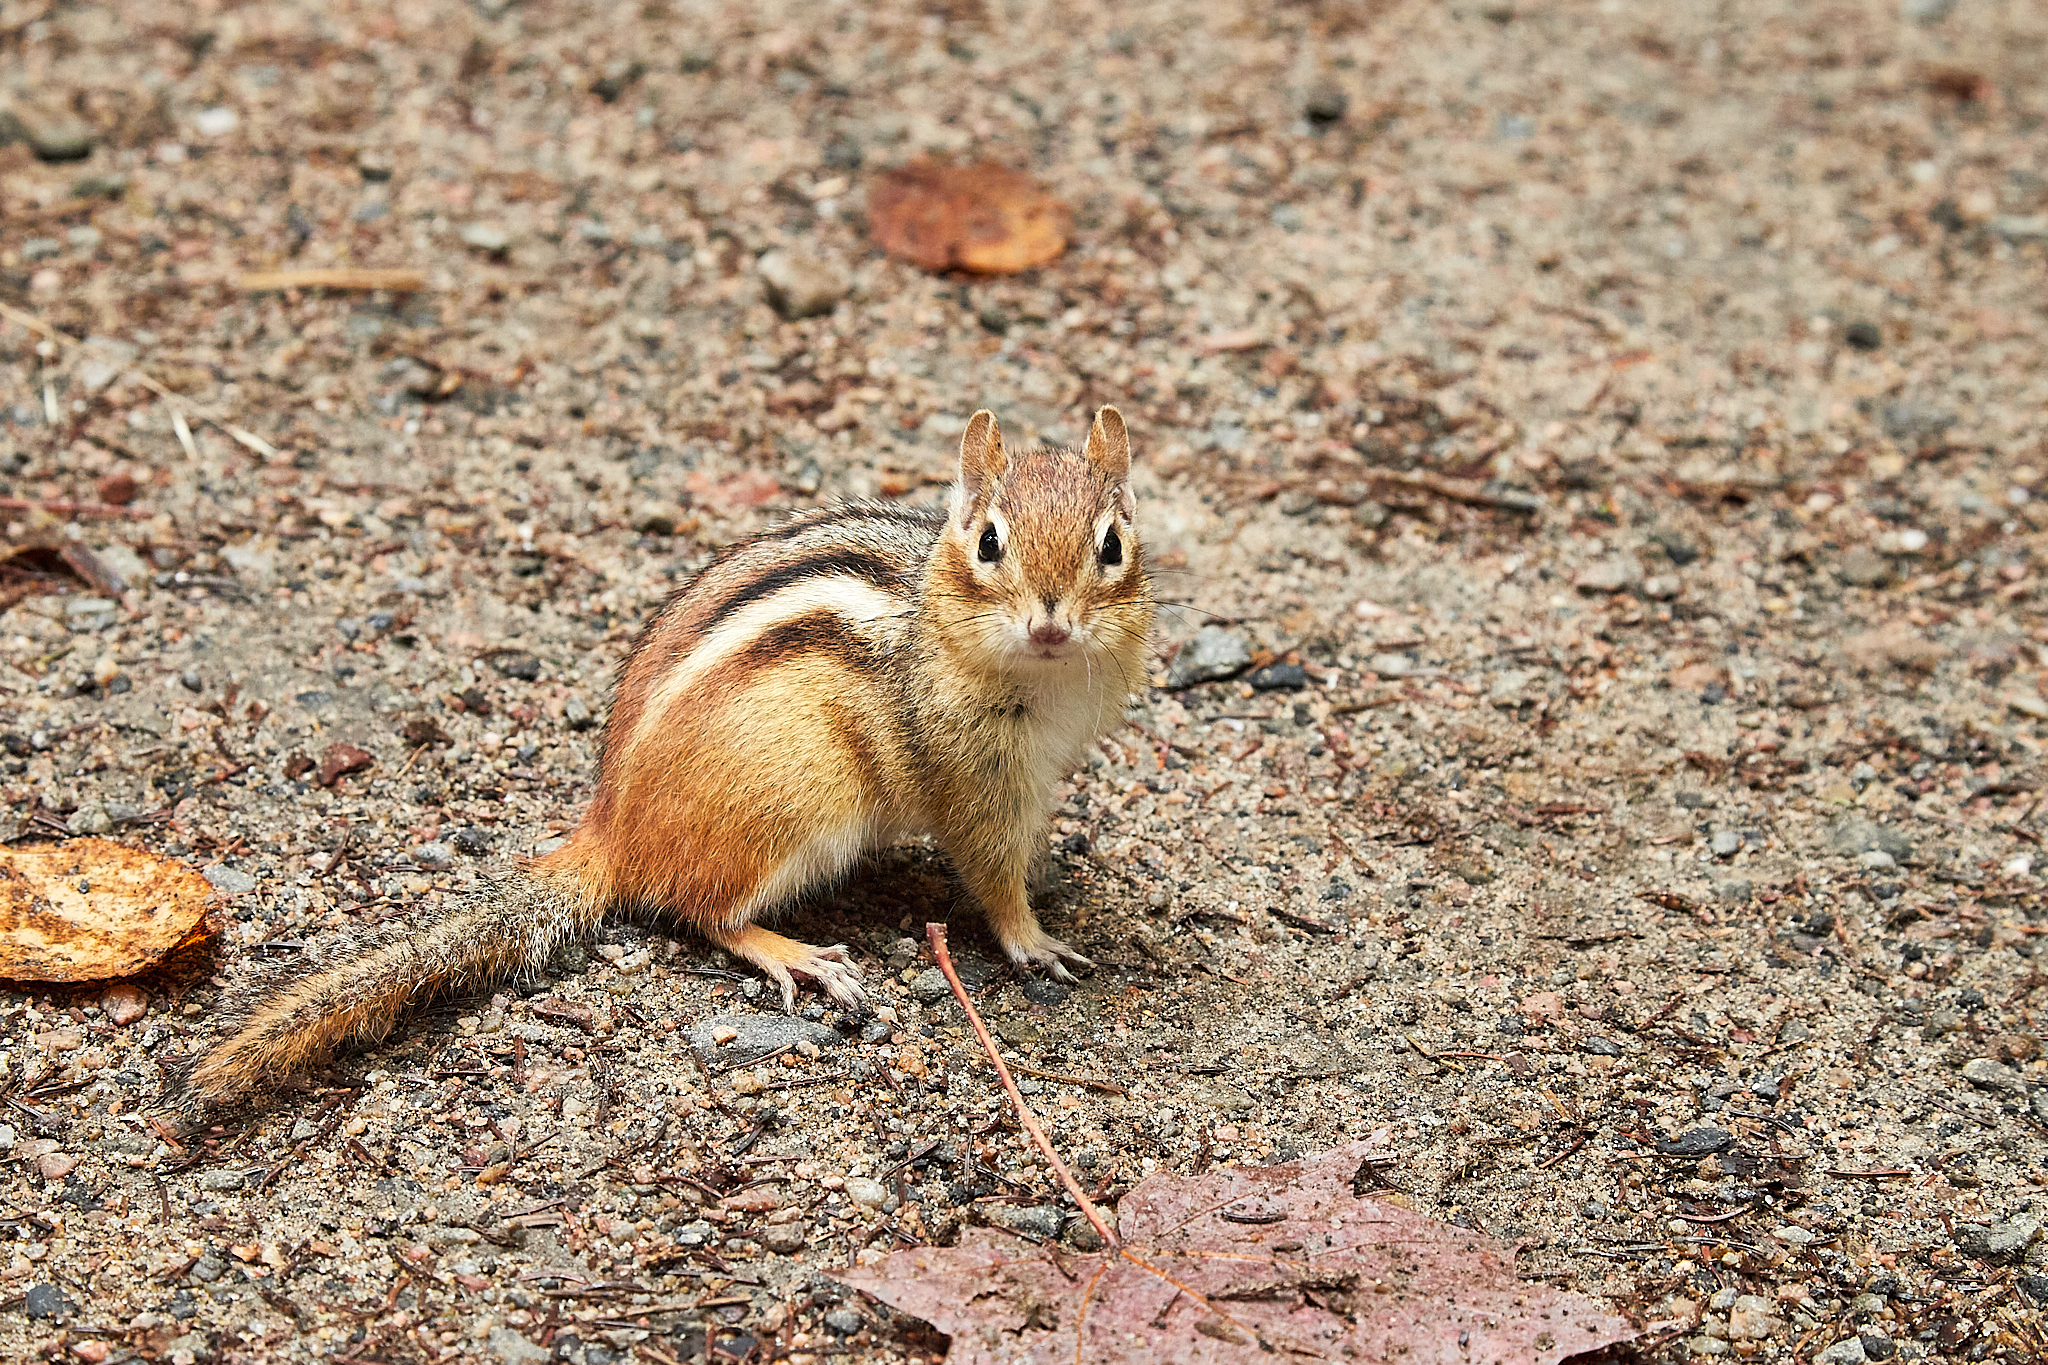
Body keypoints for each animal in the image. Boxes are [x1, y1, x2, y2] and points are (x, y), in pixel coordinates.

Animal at [174, 406, 1155, 1111]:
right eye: (988, 542)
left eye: (1112, 544)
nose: (1051, 620)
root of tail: (614, 827)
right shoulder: (970, 778)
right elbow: (990, 876)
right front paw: (1034, 937)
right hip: (799, 804)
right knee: (703, 909)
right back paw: (795, 953)